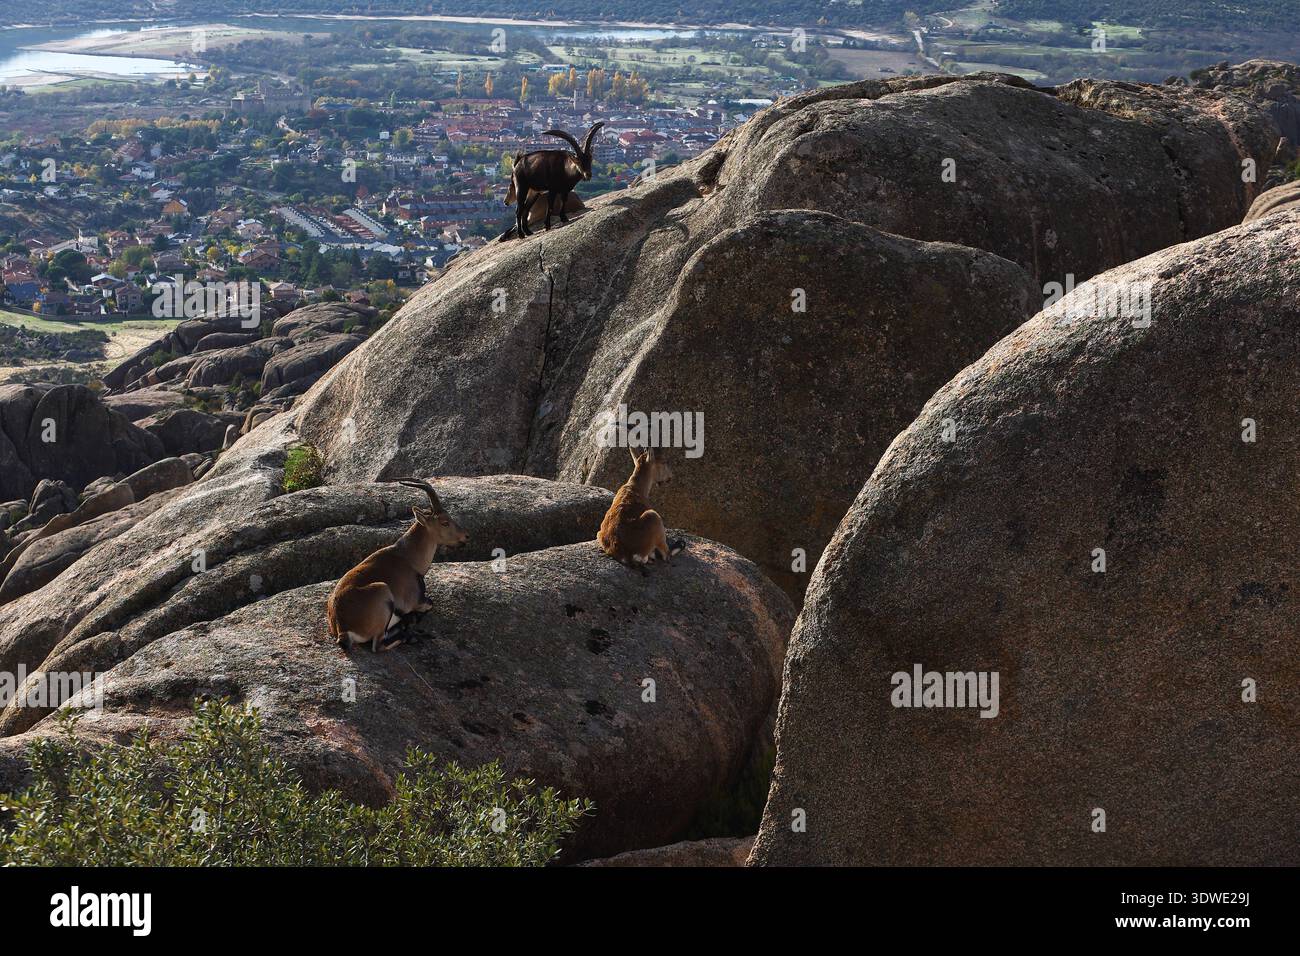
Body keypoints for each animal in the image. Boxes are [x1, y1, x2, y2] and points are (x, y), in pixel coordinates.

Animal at [327, 479, 468, 652]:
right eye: (445, 522)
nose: (465, 536)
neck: (407, 557)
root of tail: (342, 628)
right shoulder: (417, 601)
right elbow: (429, 604)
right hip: (382, 590)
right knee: (379, 645)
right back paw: (410, 636)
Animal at [597, 446, 685, 576]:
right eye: (664, 462)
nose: (670, 477)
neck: (636, 487)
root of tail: (627, 554)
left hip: (599, 533)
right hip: (654, 517)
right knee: (665, 555)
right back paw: (678, 545)